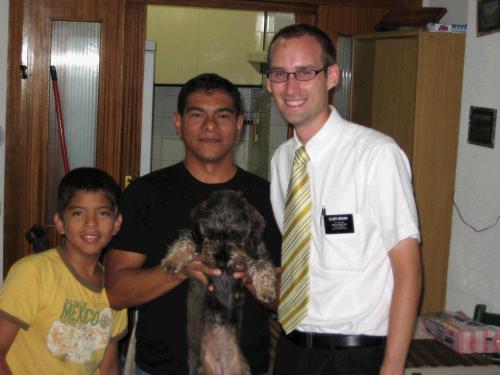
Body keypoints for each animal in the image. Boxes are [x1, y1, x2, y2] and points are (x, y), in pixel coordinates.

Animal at [161, 191, 276, 375]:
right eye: (210, 233)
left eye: (235, 234)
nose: (221, 262)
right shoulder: (196, 238)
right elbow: (185, 240)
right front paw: (173, 260)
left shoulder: (256, 250)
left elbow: (263, 266)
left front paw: (266, 290)